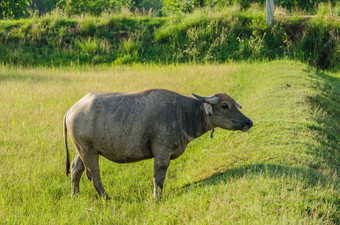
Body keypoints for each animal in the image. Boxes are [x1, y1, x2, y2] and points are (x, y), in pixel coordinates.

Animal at [63, 89, 252, 200]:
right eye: (225, 105)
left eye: (236, 105)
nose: (248, 122)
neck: (183, 113)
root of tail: (71, 110)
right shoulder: (162, 151)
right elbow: (159, 175)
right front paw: (157, 198)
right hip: (87, 150)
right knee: (92, 174)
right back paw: (106, 197)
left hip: (82, 150)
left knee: (76, 168)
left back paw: (75, 195)